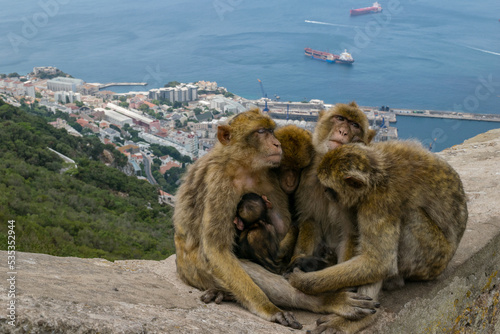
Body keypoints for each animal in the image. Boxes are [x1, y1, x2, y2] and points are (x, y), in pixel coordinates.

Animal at [290, 140, 468, 332]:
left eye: (330, 188)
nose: (325, 192)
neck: (377, 171)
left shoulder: (379, 200)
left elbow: (378, 262)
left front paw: (301, 281)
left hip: (431, 259)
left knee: (407, 218)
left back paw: (358, 320)